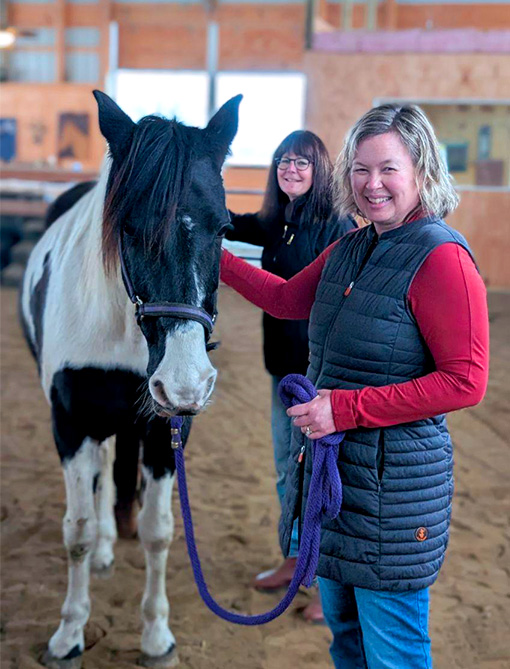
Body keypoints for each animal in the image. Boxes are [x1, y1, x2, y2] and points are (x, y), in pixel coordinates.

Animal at [20, 89, 241, 669]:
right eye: (128, 228)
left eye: (224, 229)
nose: (186, 383)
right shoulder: (70, 424)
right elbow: (75, 530)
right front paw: (68, 634)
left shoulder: (165, 431)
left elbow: (158, 532)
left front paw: (156, 635)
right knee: (98, 479)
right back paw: (100, 552)